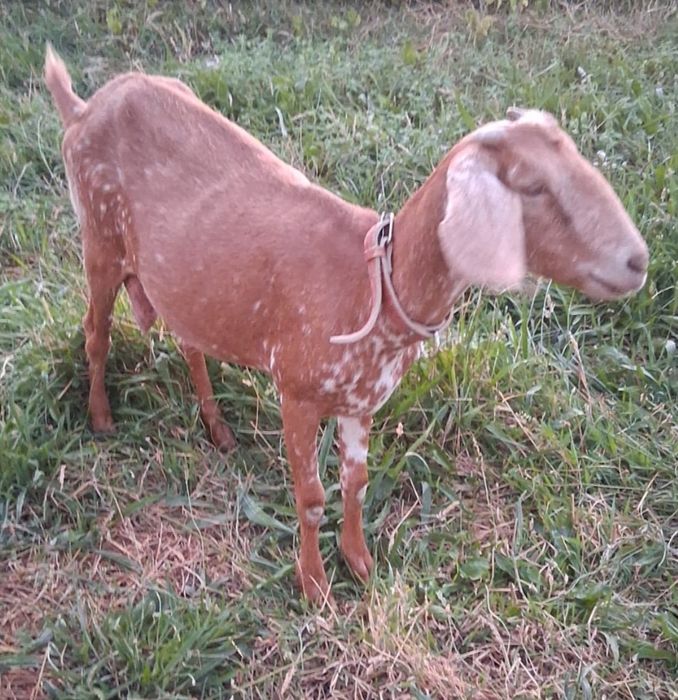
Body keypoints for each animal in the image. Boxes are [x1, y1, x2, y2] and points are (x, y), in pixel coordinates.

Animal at [44, 45, 648, 603]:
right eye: (532, 185)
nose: (637, 261)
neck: (372, 287)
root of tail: (82, 108)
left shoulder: (361, 401)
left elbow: (354, 483)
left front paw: (359, 562)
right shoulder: (296, 390)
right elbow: (312, 498)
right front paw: (314, 585)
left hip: (181, 278)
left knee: (187, 337)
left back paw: (218, 429)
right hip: (98, 238)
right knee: (95, 331)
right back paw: (101, 417)